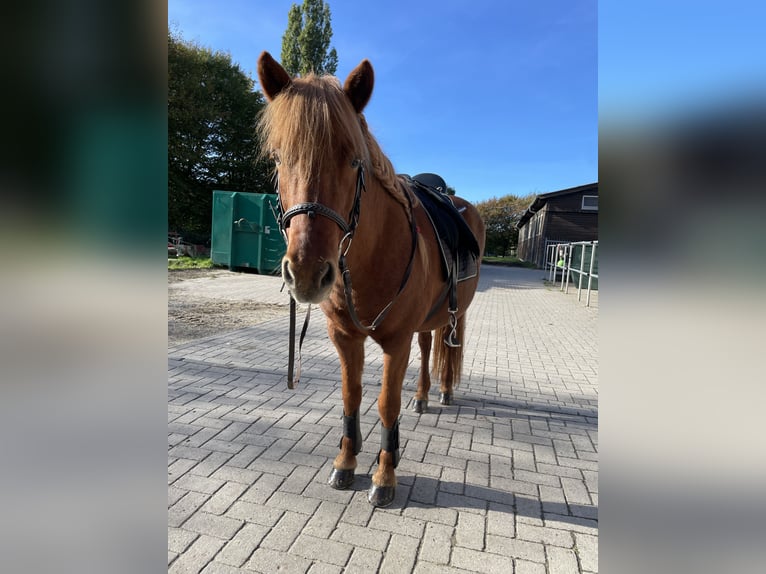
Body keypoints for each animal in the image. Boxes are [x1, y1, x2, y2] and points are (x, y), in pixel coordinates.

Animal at [256, 52, 486, 507]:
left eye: (353, 159)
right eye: (278, 157)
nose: (307, 272)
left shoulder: (395, 343)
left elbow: (385, 404)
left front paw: (385, 474)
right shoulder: (345, 337)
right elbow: (351, 396)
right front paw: (346, 461)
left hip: (458, 312)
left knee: (448, 344)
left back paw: (444, 390)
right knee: (428, 345)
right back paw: (423, 396)